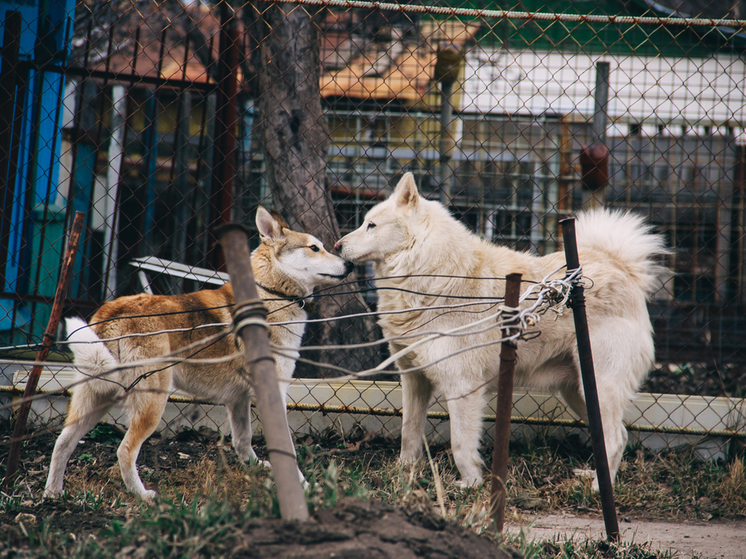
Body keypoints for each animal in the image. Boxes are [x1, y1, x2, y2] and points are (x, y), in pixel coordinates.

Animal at [334, 173, 664, 488]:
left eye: (371, 225)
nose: (336, 247)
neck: (431, 275)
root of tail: (620, 267)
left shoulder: (463, 387)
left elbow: (460, 445)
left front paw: (471, 484)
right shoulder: (414, 380)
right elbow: (409, 434)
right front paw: (404, 473)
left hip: (597, 386)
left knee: (617, 437)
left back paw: (597, 488)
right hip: (578, 393)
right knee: (613, 435)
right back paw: (591, 476)